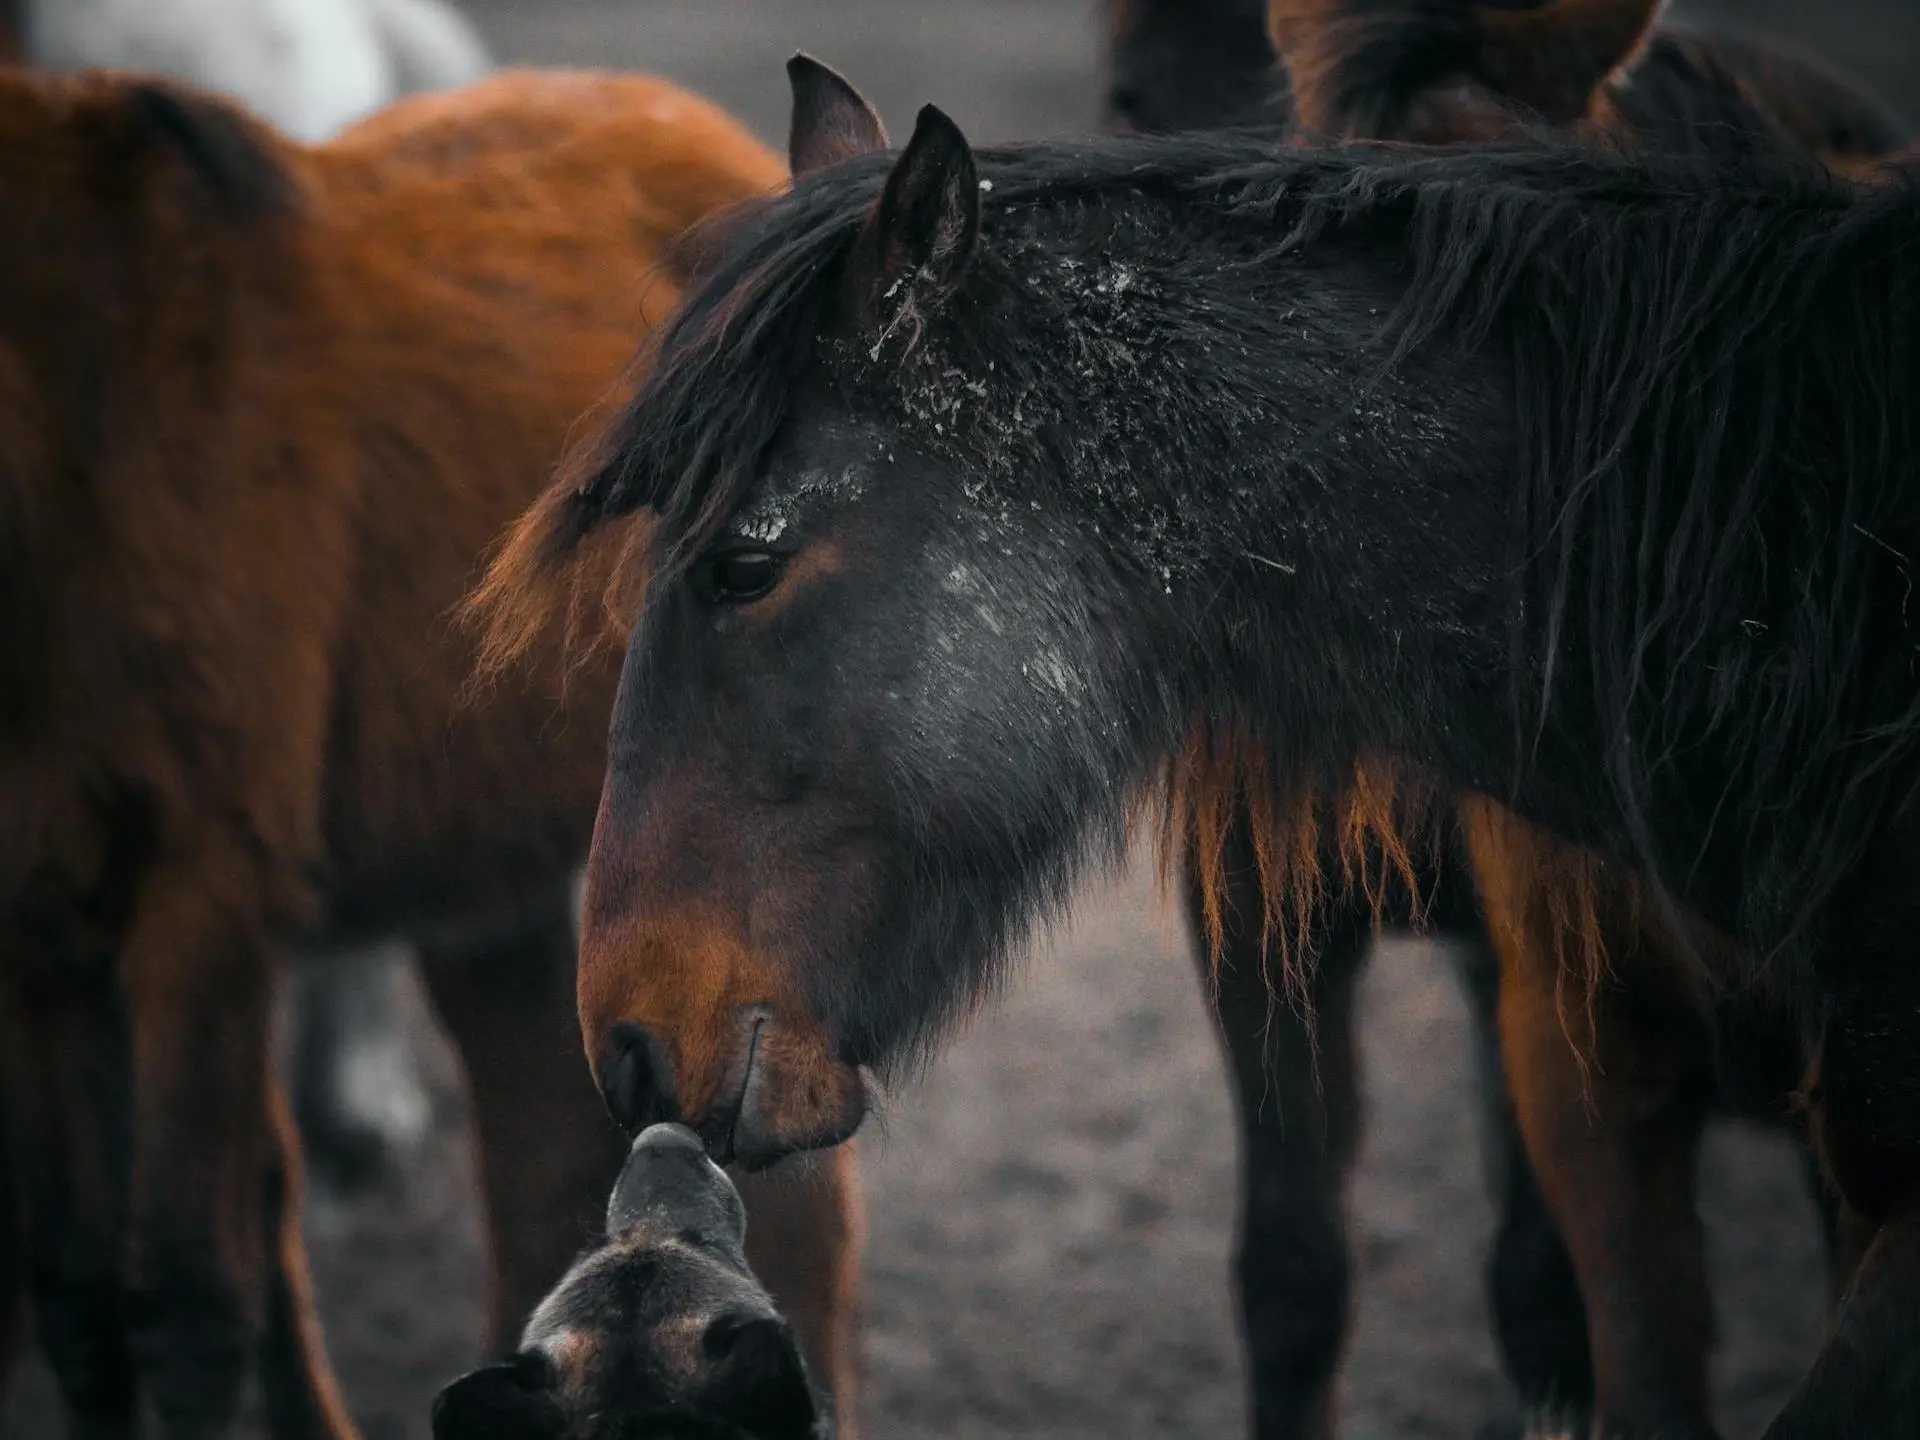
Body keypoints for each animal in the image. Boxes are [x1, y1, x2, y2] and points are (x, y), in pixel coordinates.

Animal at [0, 64, 864, 1440]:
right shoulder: (38, 923)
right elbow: (85, 1304)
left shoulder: (207, 897)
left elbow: (190, 1301)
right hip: (503, 889)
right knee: (543, 1173)